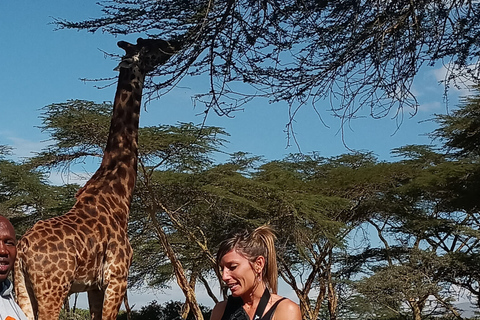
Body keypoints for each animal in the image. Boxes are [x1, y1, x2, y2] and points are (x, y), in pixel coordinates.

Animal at [13, 38, 178, 320]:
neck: (118, 193)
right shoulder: (117, 278)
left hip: (22, 289)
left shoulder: (93, 286)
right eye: (150, 46)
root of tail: (22, 249)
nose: (175, 43)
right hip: (53, 289)